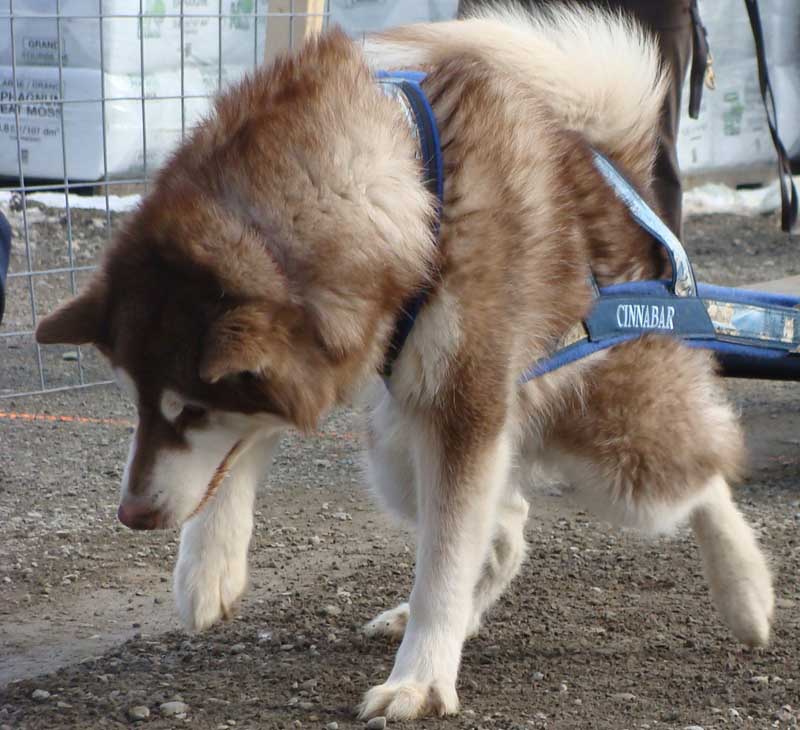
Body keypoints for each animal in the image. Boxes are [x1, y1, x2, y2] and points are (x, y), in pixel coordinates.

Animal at [37, 5, 776, 720]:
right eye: (134, 401)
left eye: (190, 408)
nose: (132, 516)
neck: (411, 191)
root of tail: (612, 168)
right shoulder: (340, 358)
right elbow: (251, 448)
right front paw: (207, 564)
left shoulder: (463, 406)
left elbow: (442, 565)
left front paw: (420, 679)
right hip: (400, 454)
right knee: (505, 522)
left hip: (610, 446)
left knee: (700, 476)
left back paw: (745, 593)